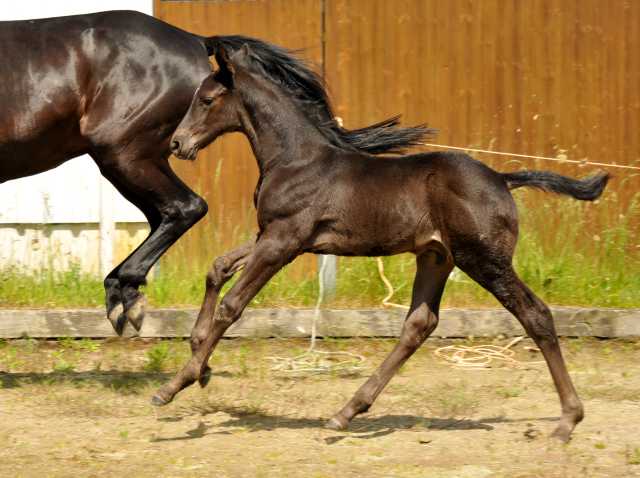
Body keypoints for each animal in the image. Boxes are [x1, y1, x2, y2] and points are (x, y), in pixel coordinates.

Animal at [0, 10, 428, 332]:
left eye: (206, 100)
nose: (181, 142)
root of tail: (193, 39)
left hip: (121, 151)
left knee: (184, 207)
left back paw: (123, 294)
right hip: (129, 159)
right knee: (165, 214)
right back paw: (127, 295)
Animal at [161, 45, 608, 444]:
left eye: (206, 99)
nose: (177, 144)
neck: (296, 160)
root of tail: (503, 178)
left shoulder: (284, 241)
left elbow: (232, 305)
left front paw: (178, 382)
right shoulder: (269, 234)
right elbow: (218, 267)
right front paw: (200, 360)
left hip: (484, 260)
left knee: (535, 314)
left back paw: (568, 421)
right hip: (436, 257)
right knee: (419, 325)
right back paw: (345, 413)